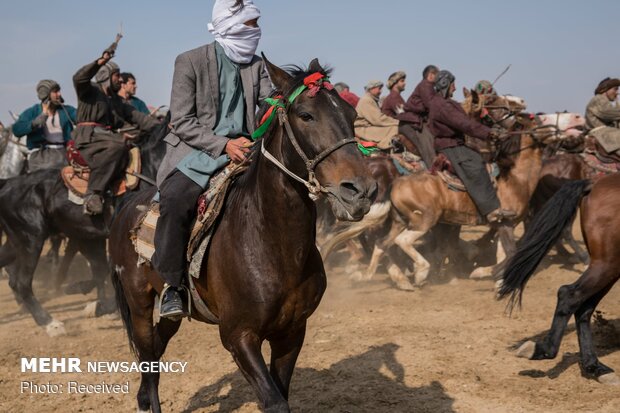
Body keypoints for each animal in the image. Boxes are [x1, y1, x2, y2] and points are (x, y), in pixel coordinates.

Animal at [109, 58, 376, 412]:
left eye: (351, 114)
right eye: (306, 115)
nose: (361, 191)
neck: (270, 243)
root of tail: (126, 206)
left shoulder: (292, 333)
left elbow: (281, 392)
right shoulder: (239, 337)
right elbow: (274, 402)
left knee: (157, 343)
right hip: (138, 301)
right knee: (148, 354)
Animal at [498, 173, 620, 384]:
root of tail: (594, 183)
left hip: (610, 267)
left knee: (583, 308)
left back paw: (595, 367)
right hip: (607, 263)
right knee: (569, 294)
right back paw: (542, 350)